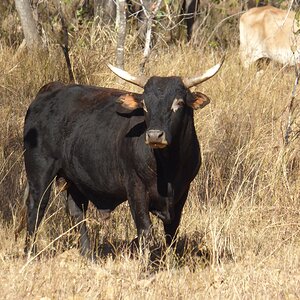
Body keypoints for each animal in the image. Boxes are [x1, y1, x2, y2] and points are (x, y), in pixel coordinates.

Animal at [23, 60, 224, 255]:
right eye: (145, 105)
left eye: (179, 103)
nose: (154, 135)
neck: (167, 167)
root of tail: (51, 89)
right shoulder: (135, 188)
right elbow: (145, 230)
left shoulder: (182, 191)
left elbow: (172, 231)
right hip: (39, 173)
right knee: (36, 208)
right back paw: (29, 253)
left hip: (75, 179)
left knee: (77, 212)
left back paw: (88, 254)